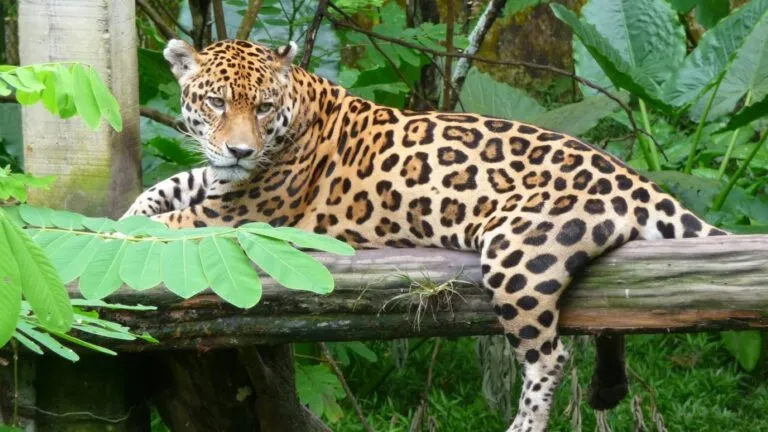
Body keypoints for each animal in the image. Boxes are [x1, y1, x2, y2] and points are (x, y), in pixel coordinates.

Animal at [124, 38, 728, 432]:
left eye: (263, 106)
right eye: (216, 102)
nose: (241, 149)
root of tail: (632, 177)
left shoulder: (235, 218)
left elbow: (166, 221)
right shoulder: (217, 183)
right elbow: (170, 185)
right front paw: (129, 208)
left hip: (517, 254)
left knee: (549, 357)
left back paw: (524, 424)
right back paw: (607, 388)